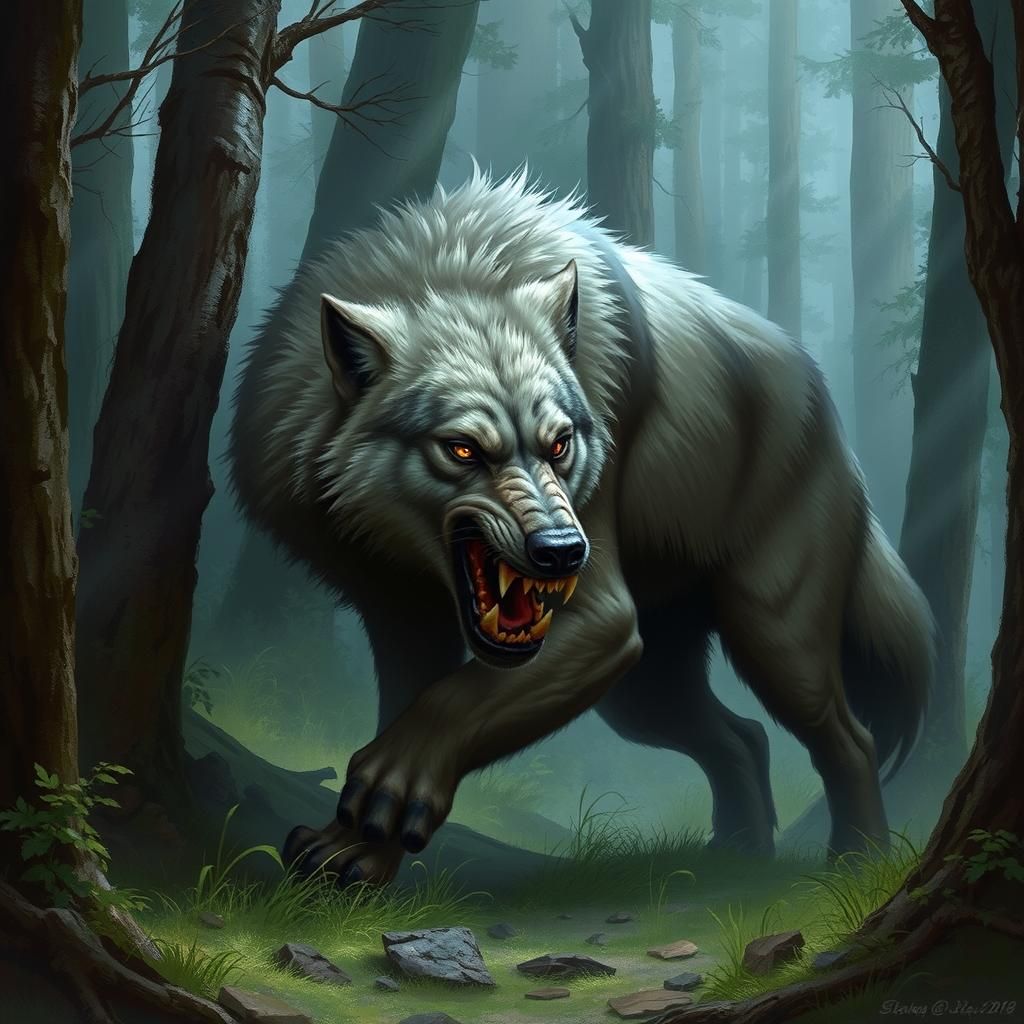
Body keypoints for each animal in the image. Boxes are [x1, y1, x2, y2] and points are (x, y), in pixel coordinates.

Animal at [229, 170, 933, 885]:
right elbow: (409, 708)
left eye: (560, 443)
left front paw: (385, 797)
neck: (459, 262)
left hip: (772, 639)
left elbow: (451, 703)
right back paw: (738, 856)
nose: (565, 552)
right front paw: (360, 852)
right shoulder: (401, 619)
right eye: (462, 449)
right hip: (645, 693)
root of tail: (824, 400)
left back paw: (858, 863)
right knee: (745, 737)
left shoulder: (604, 619)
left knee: (850, 739)